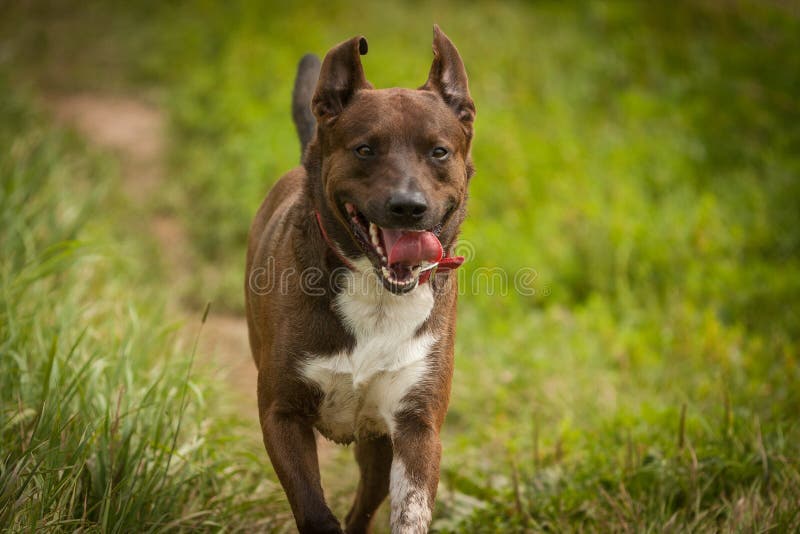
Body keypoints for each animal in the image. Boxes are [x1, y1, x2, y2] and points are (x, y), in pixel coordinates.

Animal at [245, 25, 475, 533]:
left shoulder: (416, 425)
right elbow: (314, 509)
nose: (408, 207)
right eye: (365, 148)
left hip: (377, 448)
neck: (377, 294)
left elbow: (410, 511)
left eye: (439, 151)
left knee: (363, 505)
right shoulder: (281, 414)